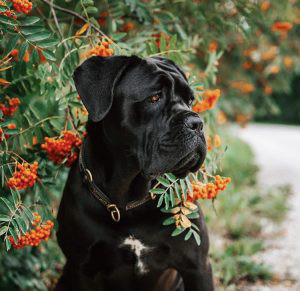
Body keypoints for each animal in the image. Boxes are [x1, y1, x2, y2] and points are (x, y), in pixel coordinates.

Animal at [54, 56, 213, 290]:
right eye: (154, 97)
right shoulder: (82, 269)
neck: (128, 199)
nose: (197, 123)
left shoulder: (197, 266)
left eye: (190, 100)